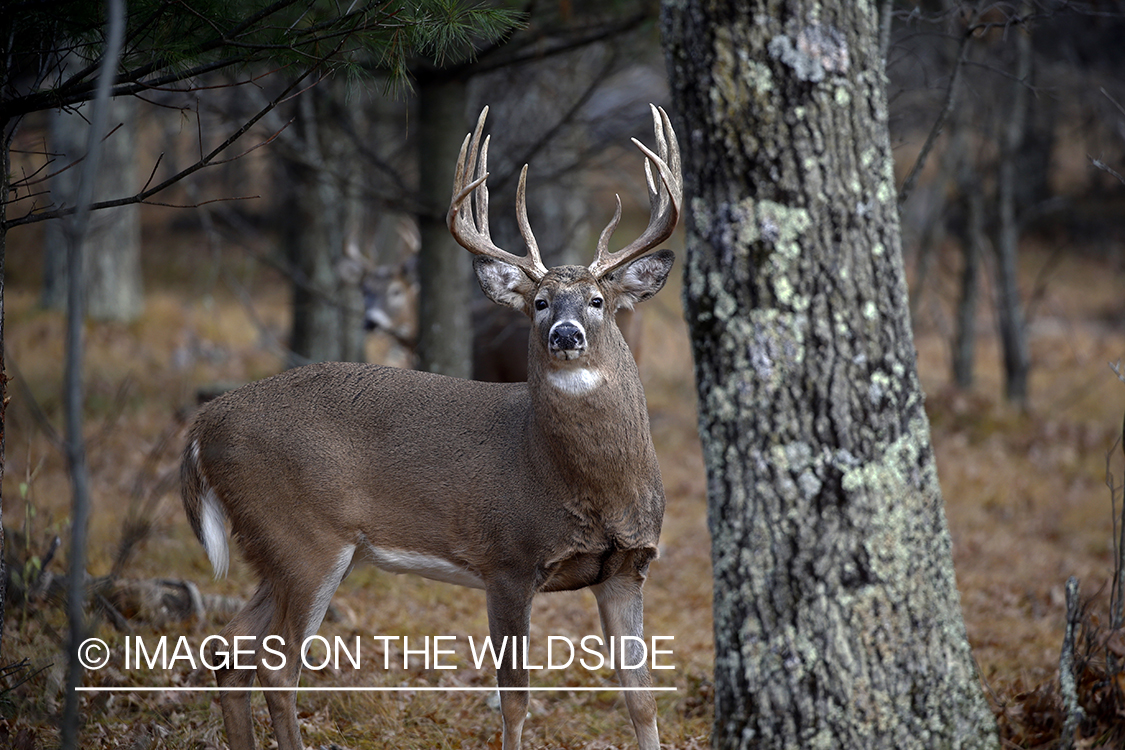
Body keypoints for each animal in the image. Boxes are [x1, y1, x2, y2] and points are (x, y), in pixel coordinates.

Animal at [180, 104, 679, 750]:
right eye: (540, 303)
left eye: (598, 300)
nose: (564, 335)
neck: (585, 485)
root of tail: (202, 424)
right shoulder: (507, 558)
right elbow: (514, 700)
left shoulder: (626, 570)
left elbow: (642, 700)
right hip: (302, 536)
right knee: (276, 664)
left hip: (279, 546)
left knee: (230, 646)